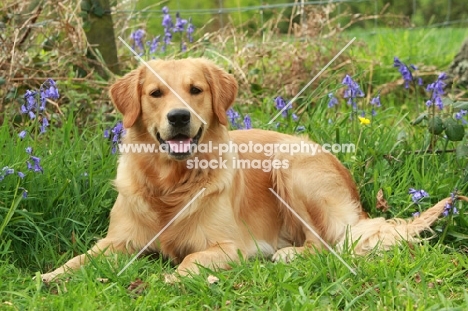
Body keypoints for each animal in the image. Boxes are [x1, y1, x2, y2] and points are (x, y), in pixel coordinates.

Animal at [41, 58, 458, 282]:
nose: (179, 117)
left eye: (195, 90)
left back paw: (290, 254)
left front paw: (173, 277)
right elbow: (81, 258)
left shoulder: (233, 246)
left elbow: (191, 258)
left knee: (327, 244)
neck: (171, 183)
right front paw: (49, 277)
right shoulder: (117, 242)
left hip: (289, 167)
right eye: (155, 93)